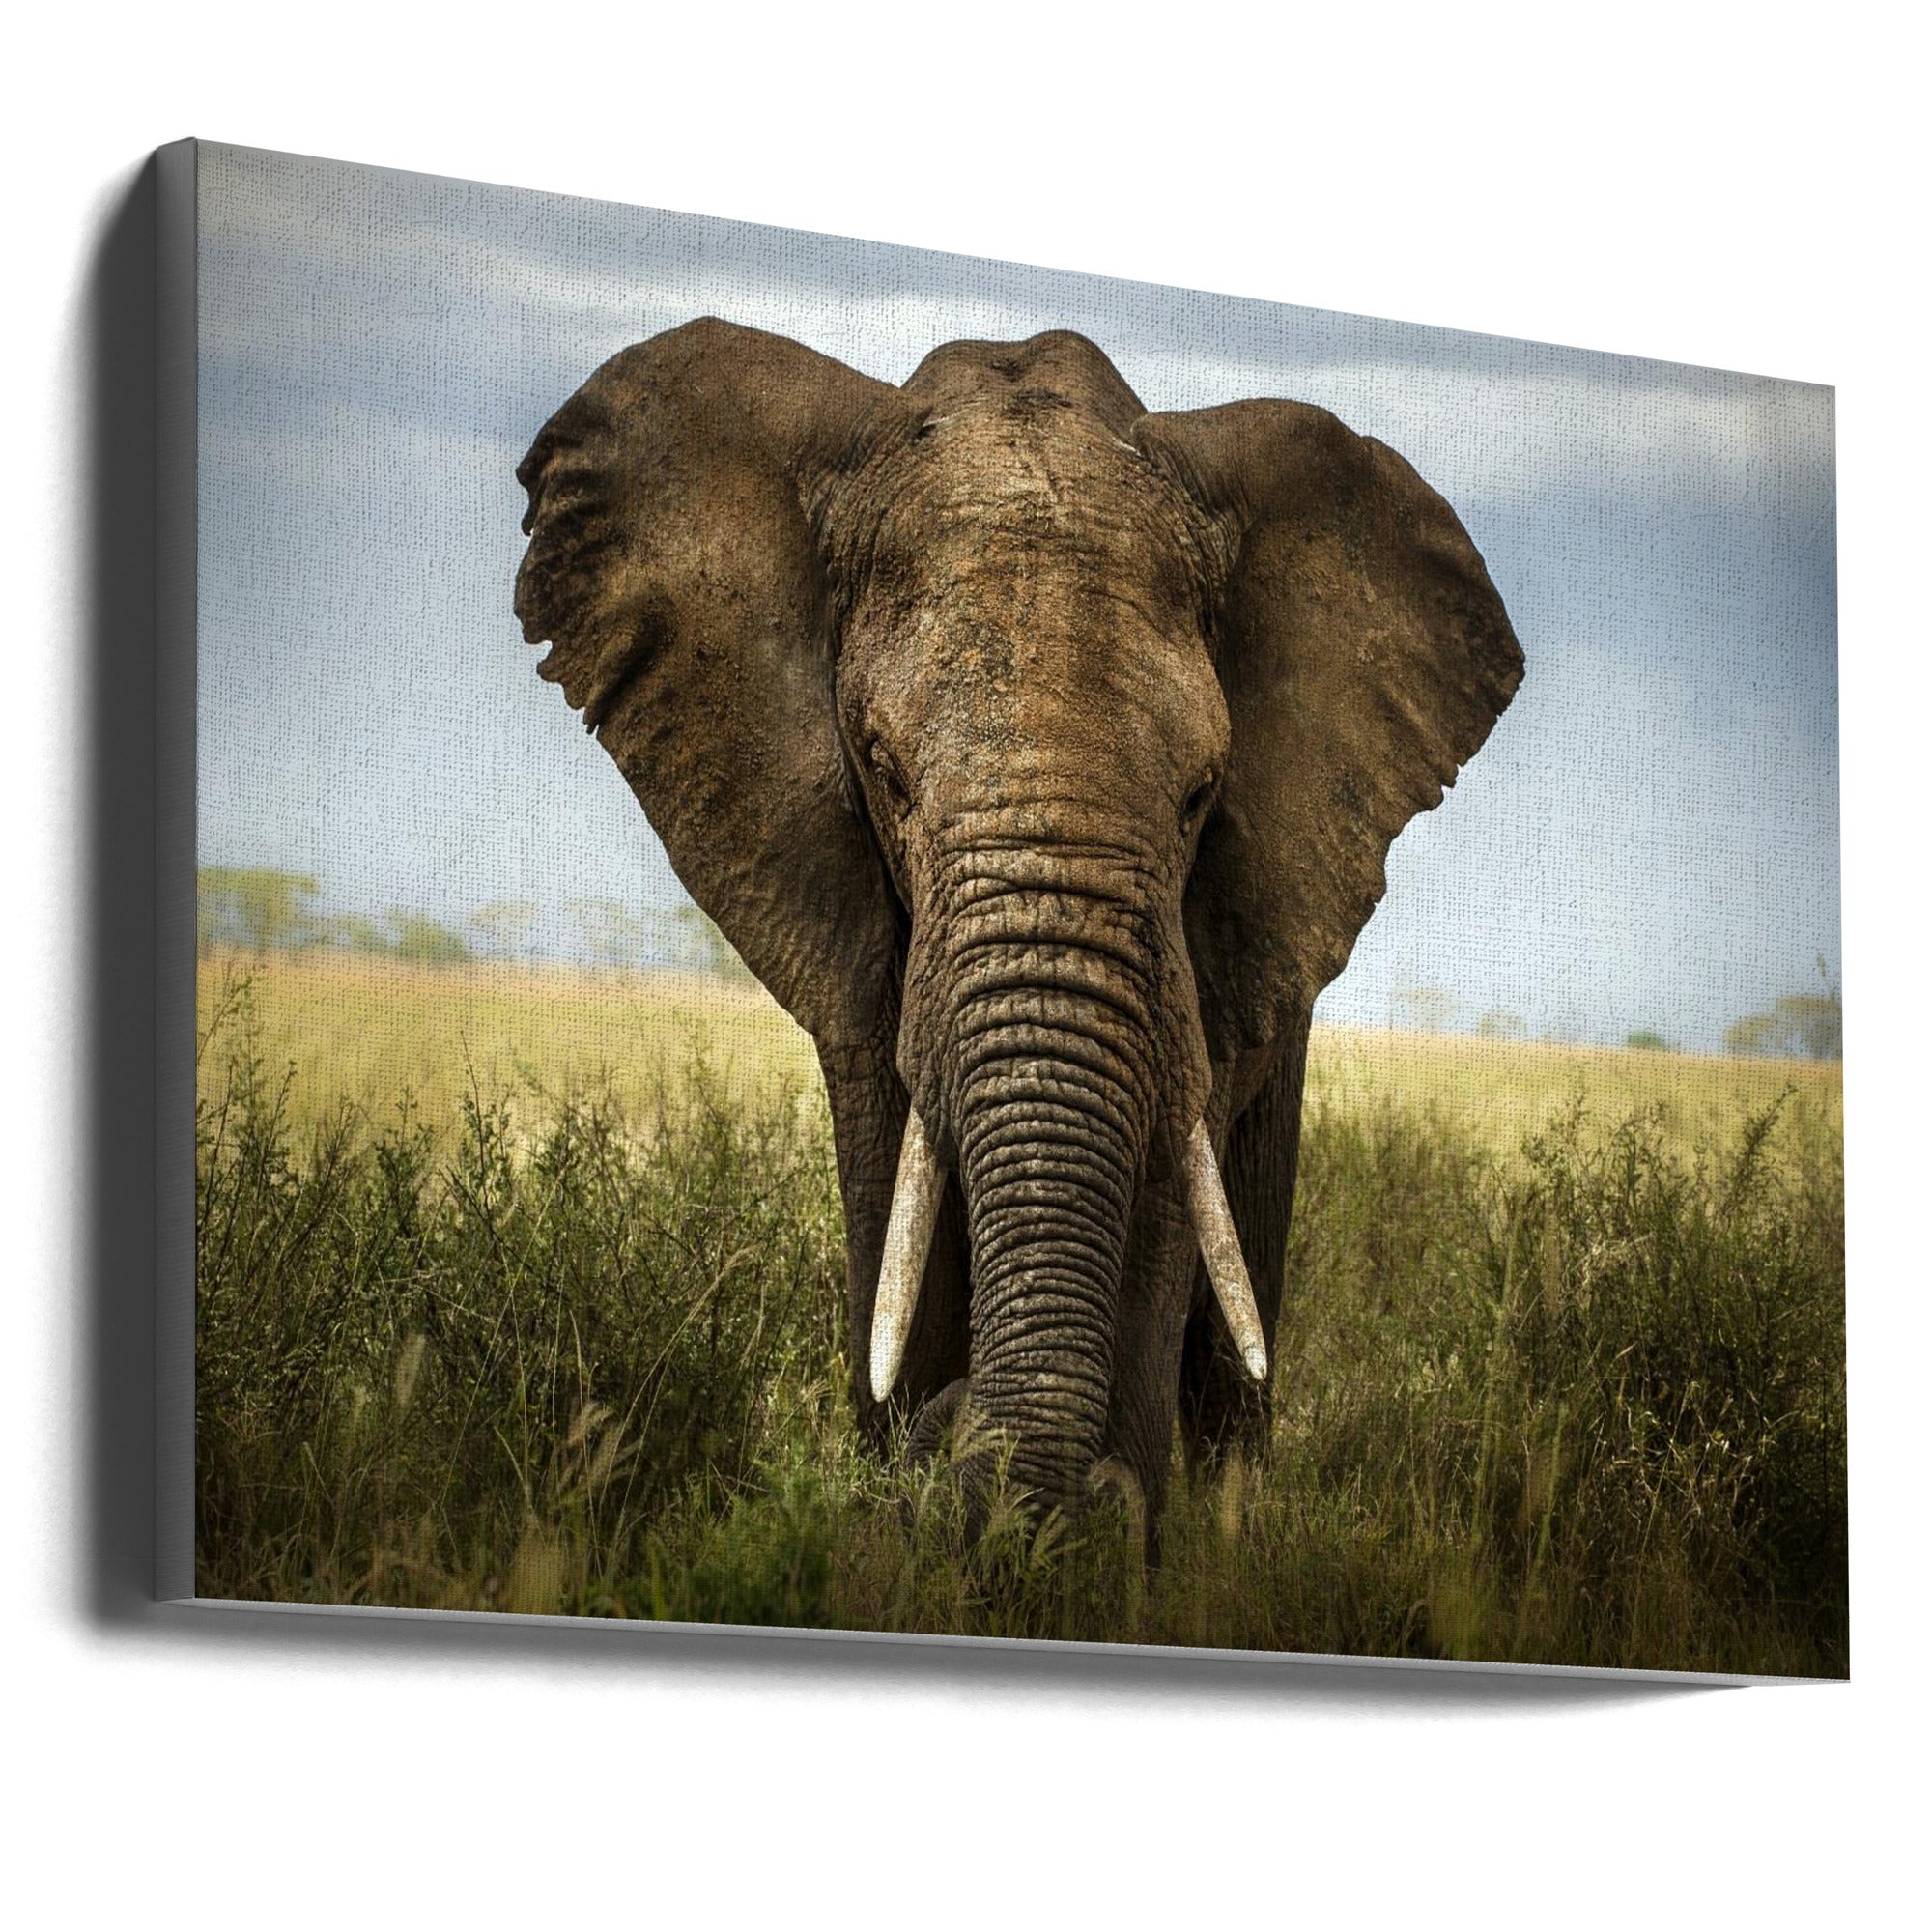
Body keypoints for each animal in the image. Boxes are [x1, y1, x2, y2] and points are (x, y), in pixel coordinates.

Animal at [513, 318, 1522, 1533]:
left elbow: (1164, 1178)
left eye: (1201, 793)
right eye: (884, 771)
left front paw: (1088, 1530)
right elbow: (890, 1167)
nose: (954, 1431)